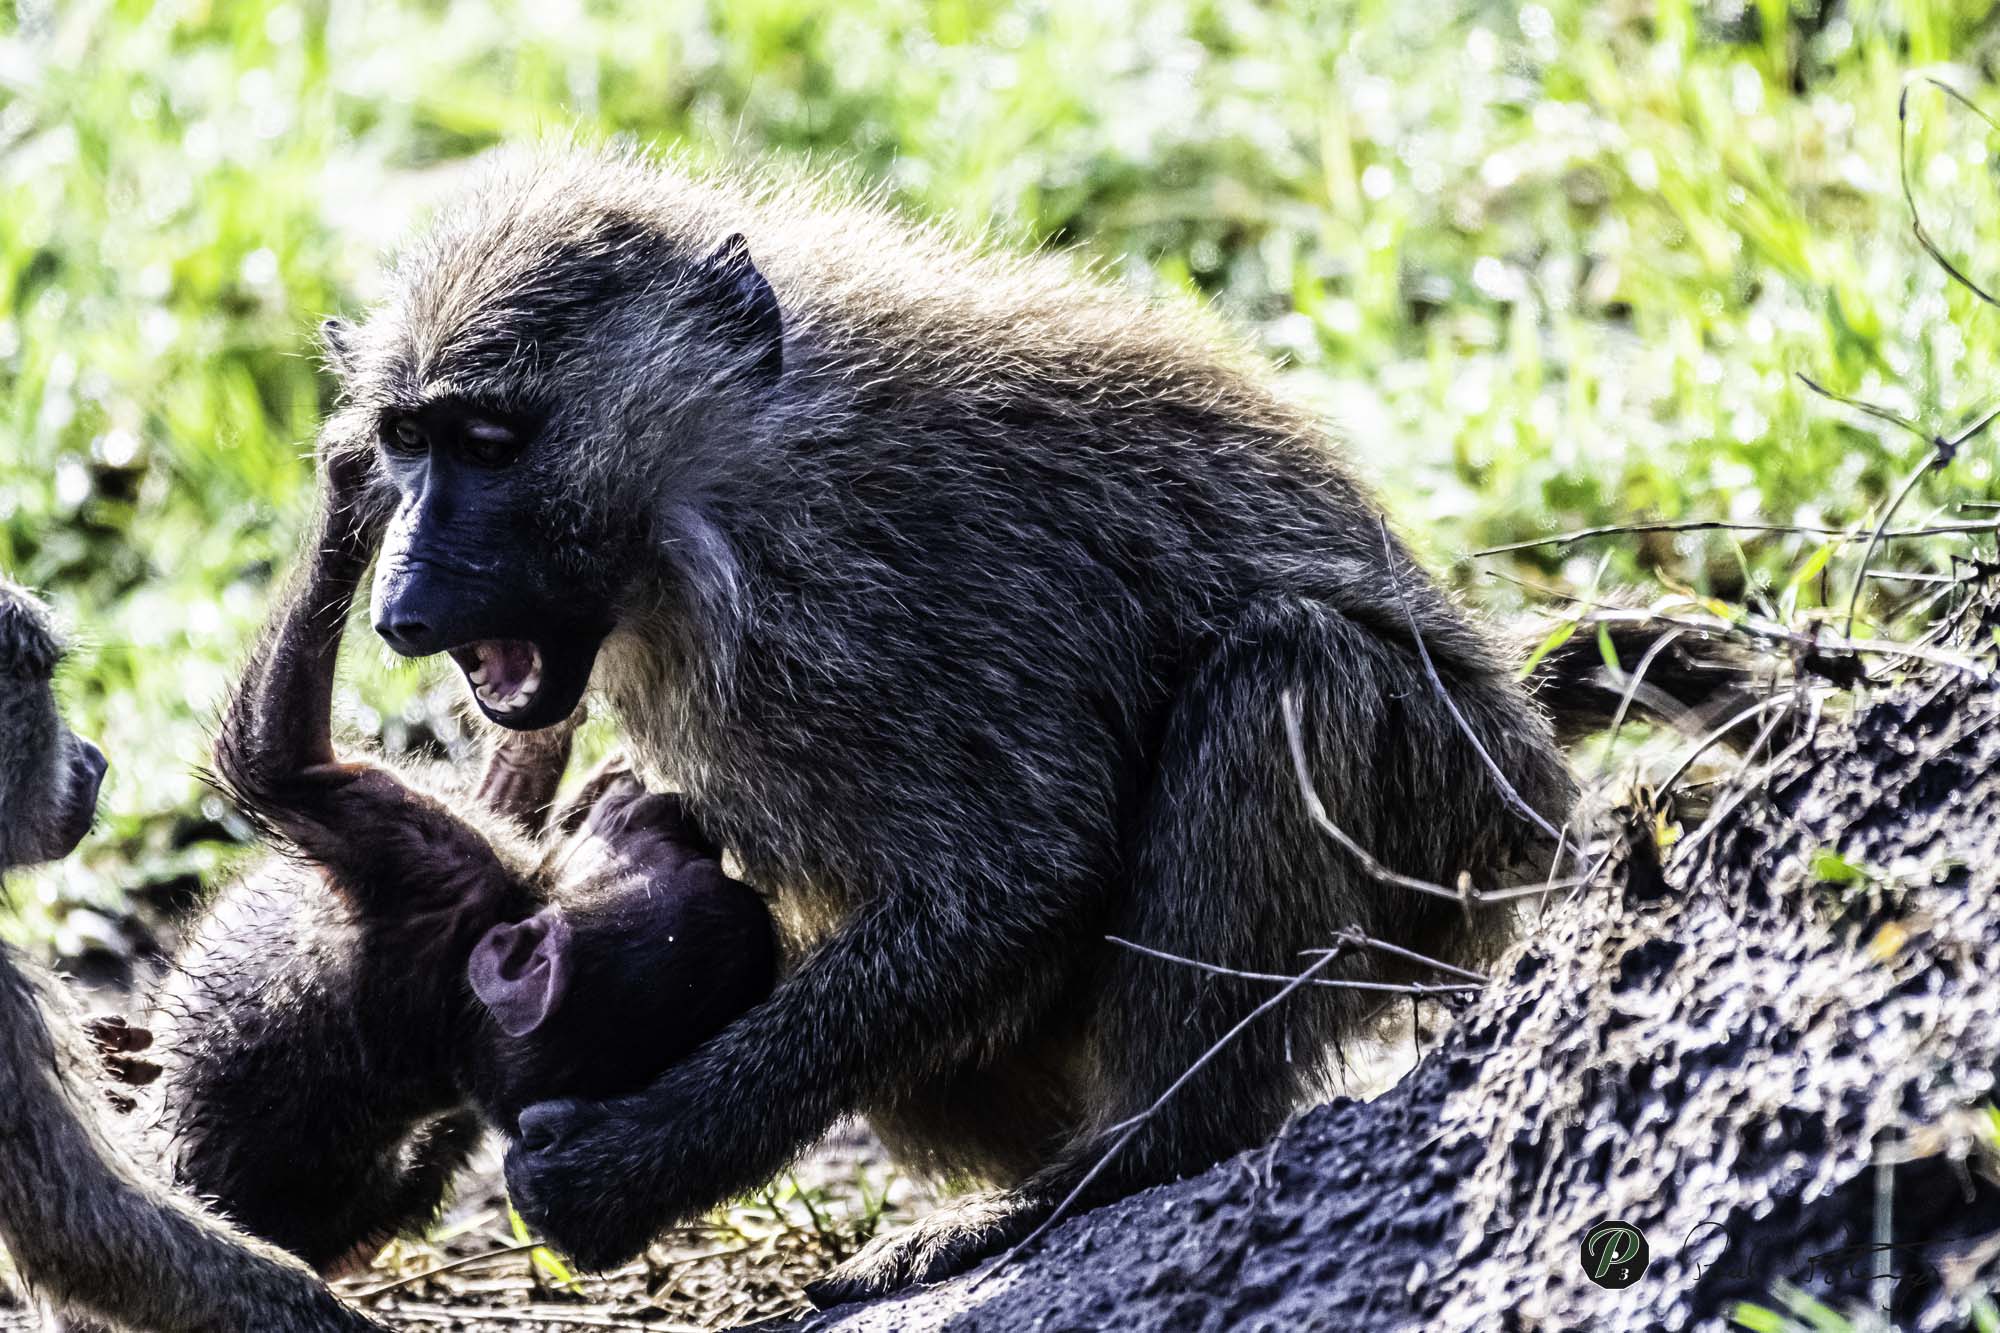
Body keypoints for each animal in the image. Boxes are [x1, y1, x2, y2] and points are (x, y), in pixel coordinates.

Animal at [143, 447, 774, 1276]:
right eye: (681, 851)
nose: (678, 814)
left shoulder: (441, 870)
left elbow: (274, 760)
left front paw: (352, 476)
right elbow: (513, 785)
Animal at [288, 142, 1749, 1303]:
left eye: (490, 441)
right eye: (409, 442)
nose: (404, 604)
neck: (711, 488)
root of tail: (1527, 769)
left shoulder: (877, 587)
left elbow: (1020, 870)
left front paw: (615, 1170)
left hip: (1445, 829)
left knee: (1288, 673)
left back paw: (1109, 1170)